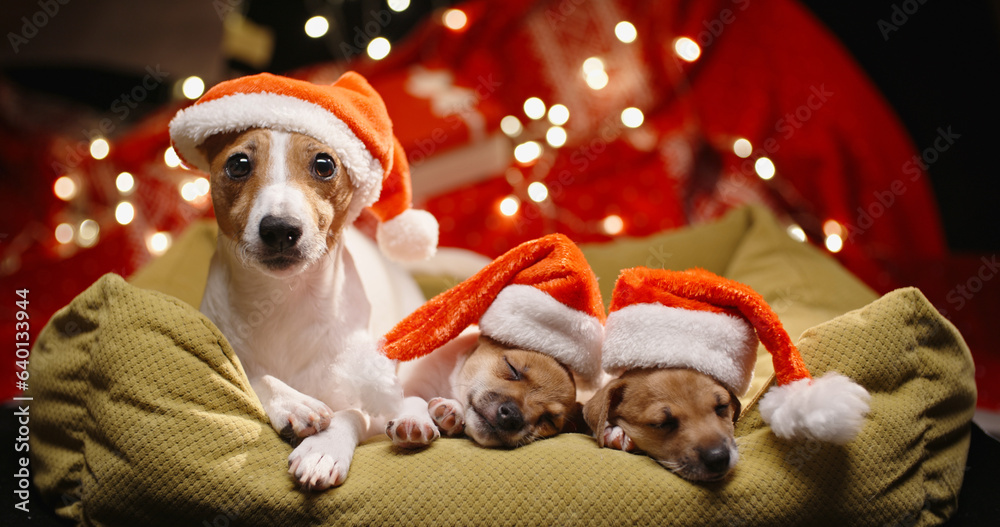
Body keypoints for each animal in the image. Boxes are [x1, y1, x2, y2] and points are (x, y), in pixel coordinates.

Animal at [390, 332, 580, 448]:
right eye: (512, 368)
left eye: (549, 420)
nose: (512, 417)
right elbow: (414, 399)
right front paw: (413, 420)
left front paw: (451, 409)